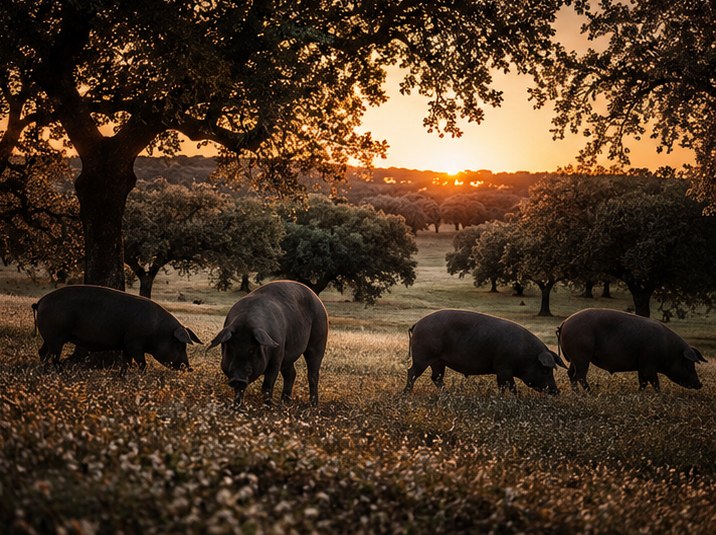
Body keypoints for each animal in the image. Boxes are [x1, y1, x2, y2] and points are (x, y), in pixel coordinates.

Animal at [32, 285, 202, 375]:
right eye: (179, 345)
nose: (189, 368)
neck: (157, 331)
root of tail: (40, 301)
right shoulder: (134, 342)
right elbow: (141, 362)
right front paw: (142, 375)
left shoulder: (126, 344)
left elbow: (126, 361)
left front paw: (122, 376)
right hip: (56, 335)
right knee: (54, 356)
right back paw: (61, 372)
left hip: (50, 337)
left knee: (43, 352)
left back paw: (44, 371)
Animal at [404, 309, 567, 395]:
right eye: (545, 370)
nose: (557, 391)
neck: (525, 355)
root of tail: (416, 324)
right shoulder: (504, 367)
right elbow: (511, 386)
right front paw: (517, 398)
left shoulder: (500, 370)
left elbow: (502, 386)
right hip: (423, 357)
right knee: (412, 372)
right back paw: (407, 394)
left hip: (438, 361)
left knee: (435, 377)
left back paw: (449, 394)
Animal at [557, 308, 706, 392]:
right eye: (689, 365)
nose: (700, 385)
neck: (668, 351)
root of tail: (564, 323)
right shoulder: (649, 365)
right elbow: (655, 383)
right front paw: (660, 396)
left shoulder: (641, 366)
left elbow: (643, 383)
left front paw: (639, 395)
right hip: (581, 355)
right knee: (578, 376)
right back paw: (587, 393)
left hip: (575, 358)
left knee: (571, 373)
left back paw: (583, 393)